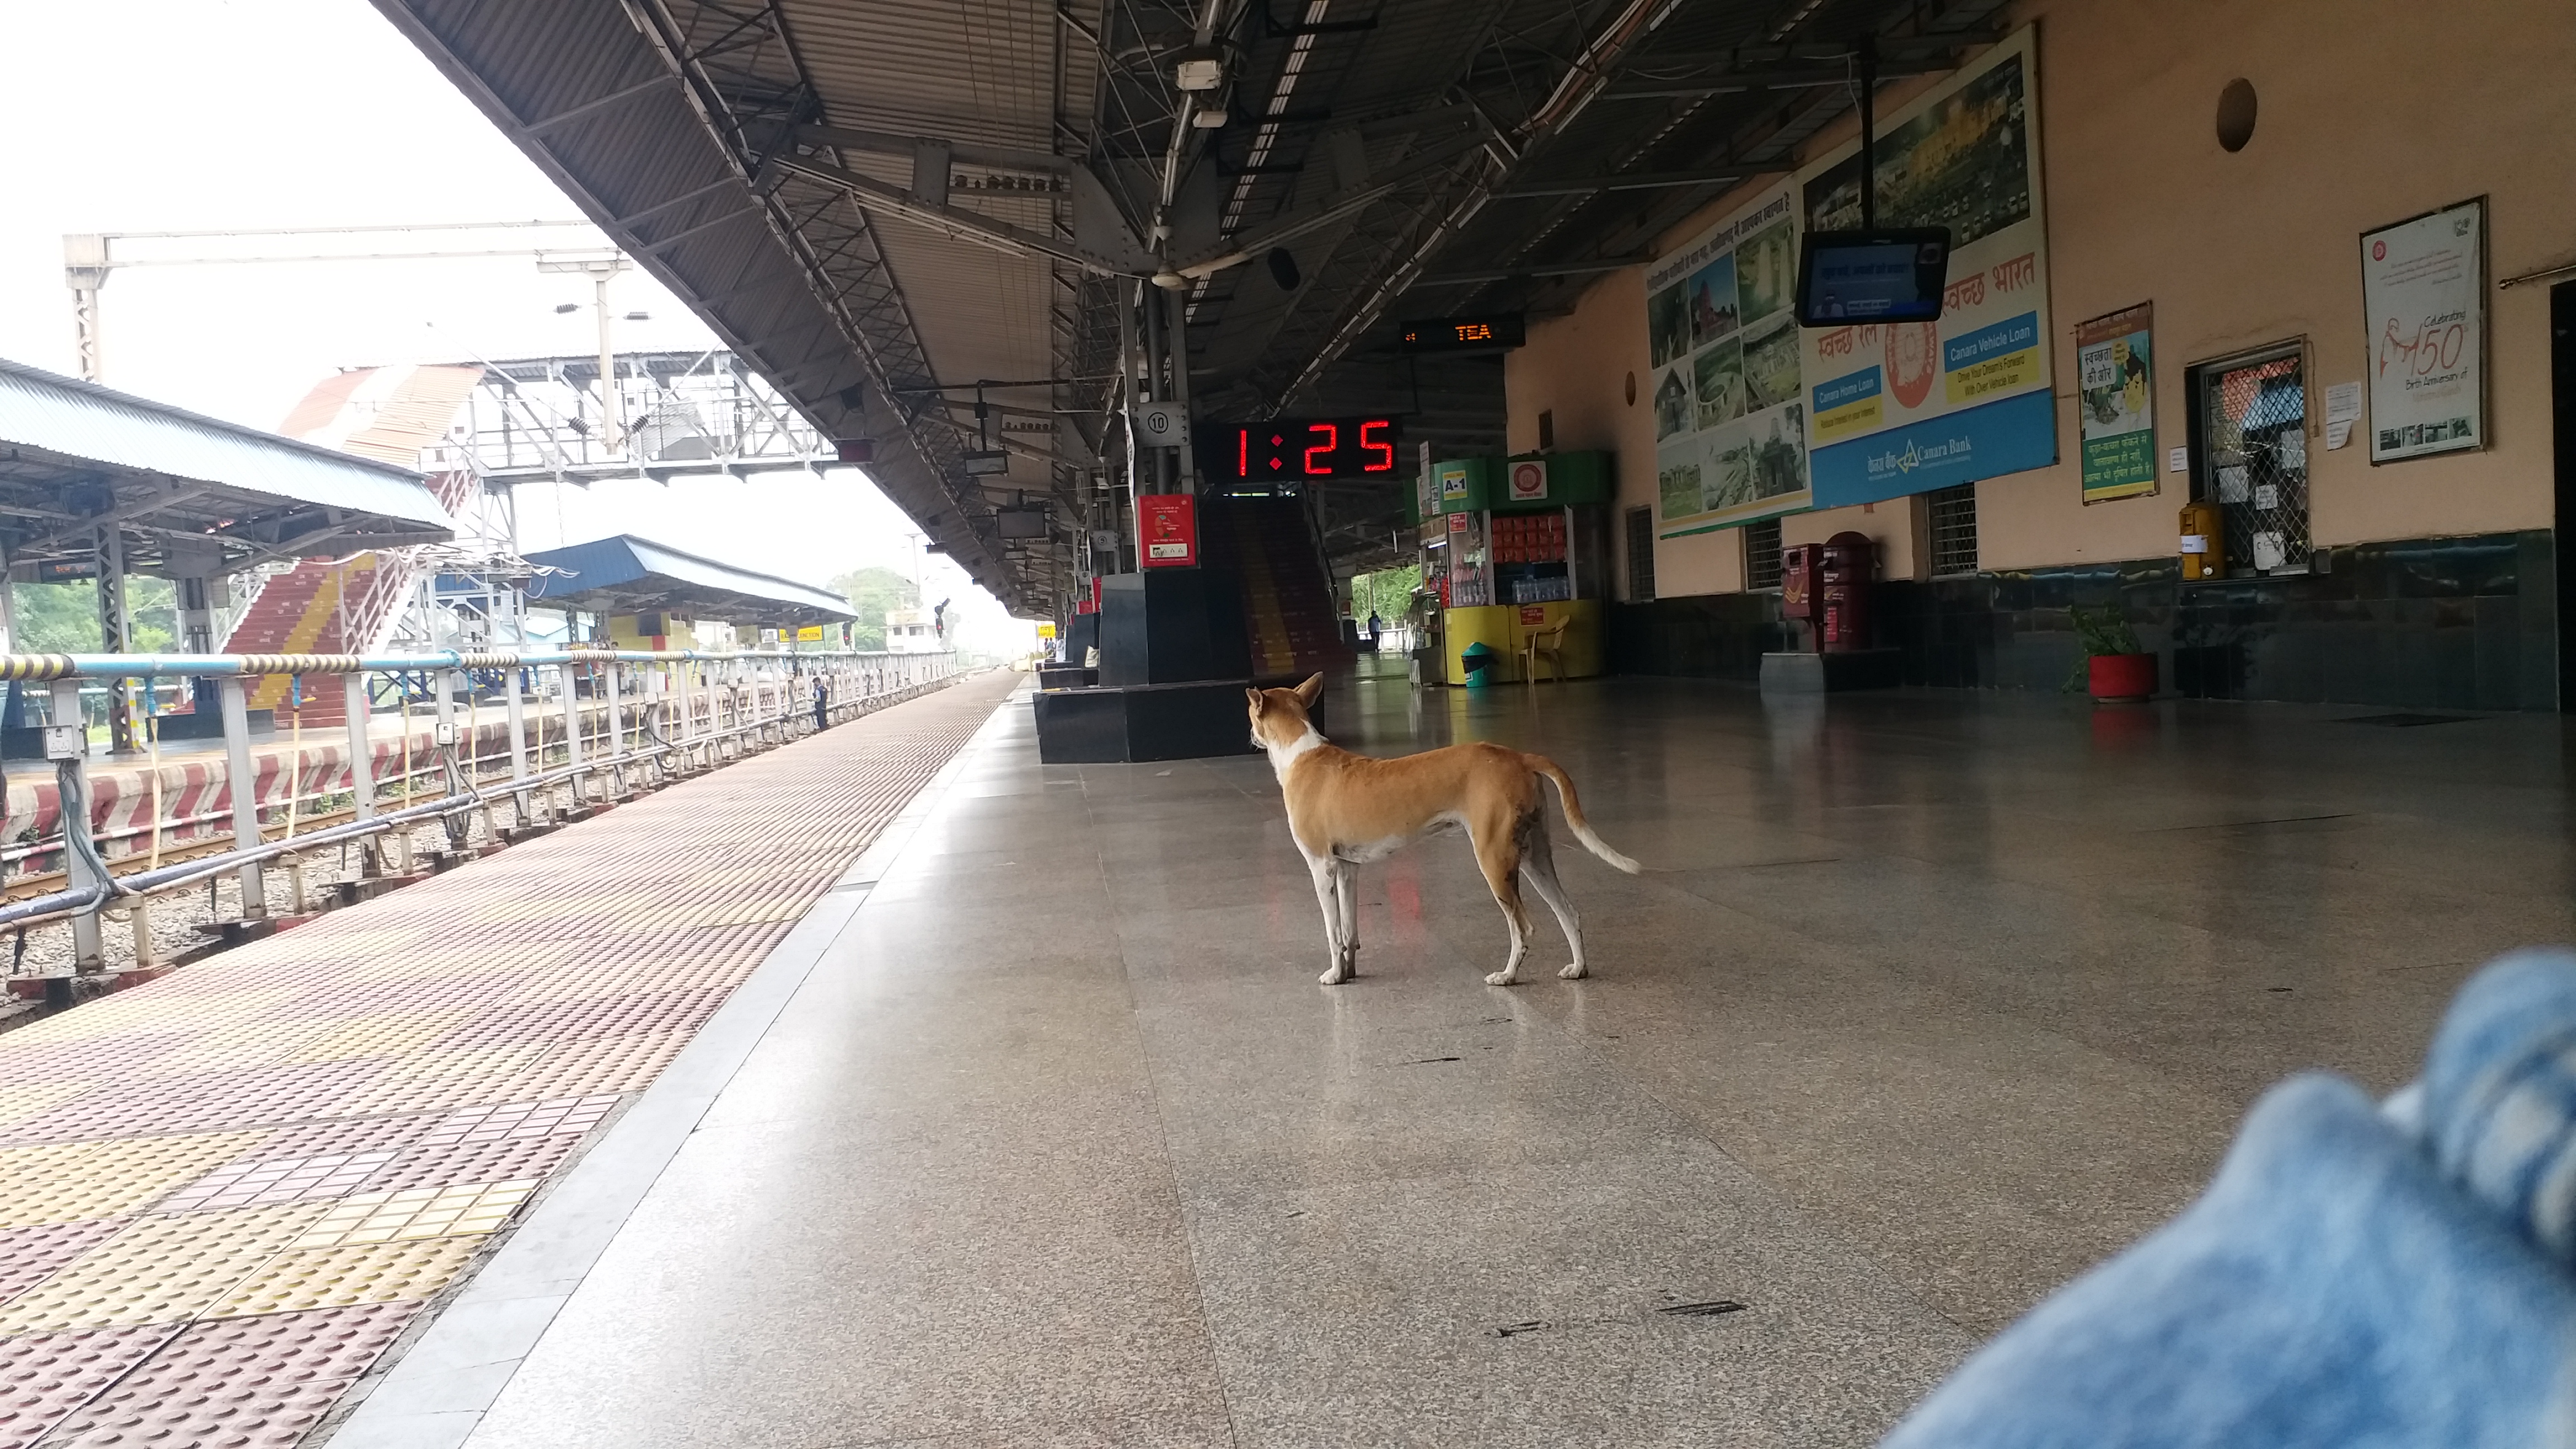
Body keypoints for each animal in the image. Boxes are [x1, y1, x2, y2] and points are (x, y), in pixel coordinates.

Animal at [1252, 670, 1649, 984]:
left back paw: (1508, 976)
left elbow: (1333, 932)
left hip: (1494, 859)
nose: (1251, 738)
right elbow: (1350, 932)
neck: (1301, 755)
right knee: (1568, 912)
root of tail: (1519, 757)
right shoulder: (1349, 869)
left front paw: (1334, 975)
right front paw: (1349, 973)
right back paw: (1578, 968)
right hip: (1534, 856)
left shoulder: (1323, 868)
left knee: (1523, 927)